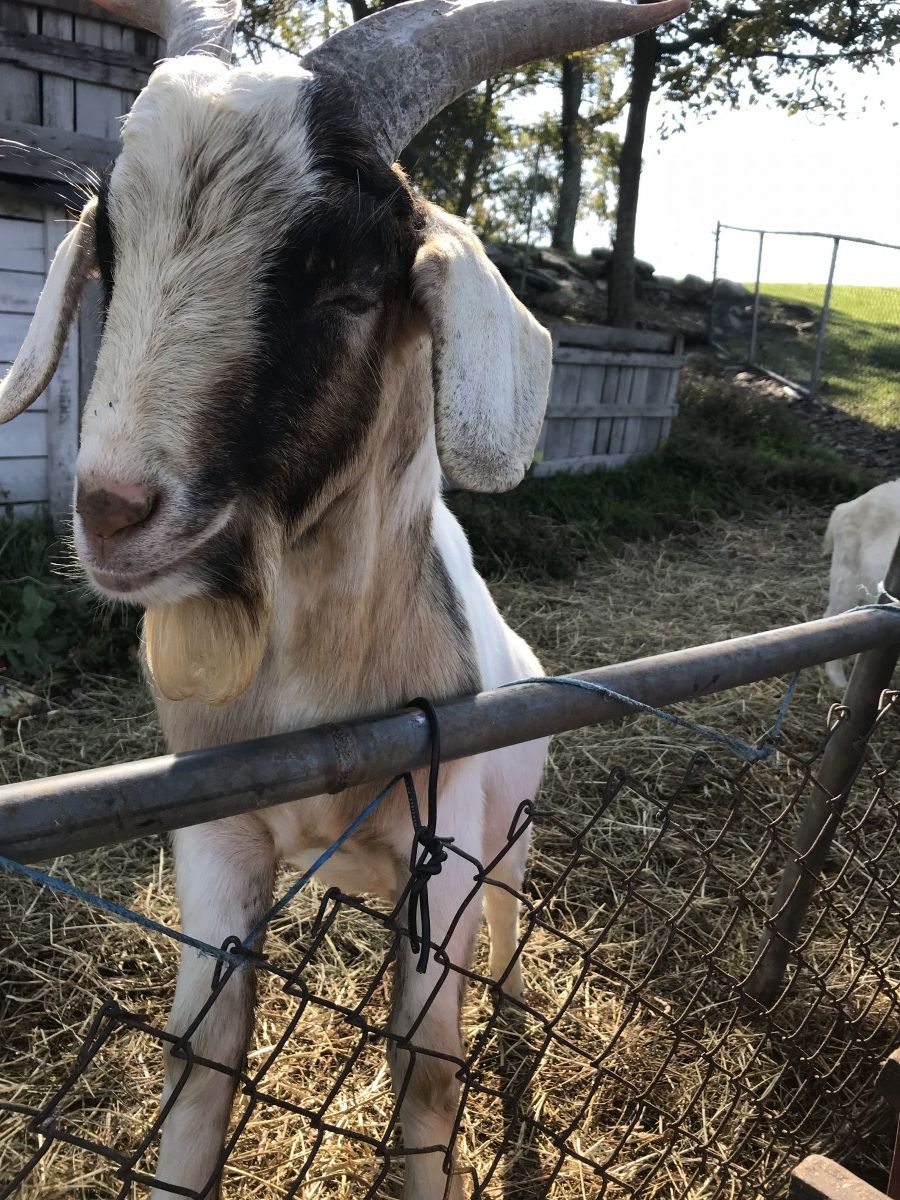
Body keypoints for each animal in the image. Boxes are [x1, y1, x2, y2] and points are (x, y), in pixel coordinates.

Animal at [0, 2, 691, 1190]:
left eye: (349, 285)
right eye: (111, 251)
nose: (111, 511)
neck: (310, 697)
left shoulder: (441, 838)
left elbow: (429, 1069)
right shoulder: (218, 834)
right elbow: (201, 1064)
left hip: (508, 832)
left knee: (509, 933)